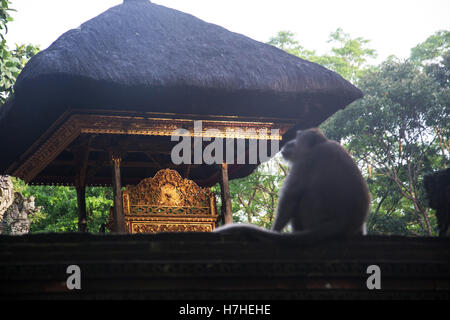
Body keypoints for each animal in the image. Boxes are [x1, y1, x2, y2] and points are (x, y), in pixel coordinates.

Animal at [214, 127, 370, 242]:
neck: (321, 144)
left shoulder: (305, 161)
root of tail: (341, 225)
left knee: (302, 198)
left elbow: (290, 197)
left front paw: (275, 230)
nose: (289, 142)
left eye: (297, 138)